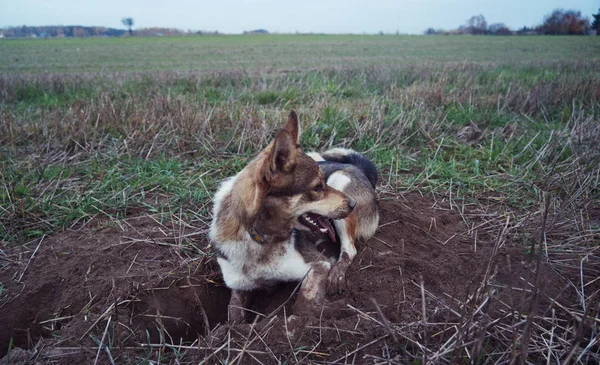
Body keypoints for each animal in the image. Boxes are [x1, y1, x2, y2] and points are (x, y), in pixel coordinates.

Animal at [211, 111, 378, 322]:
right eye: (317, 187)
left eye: (322, 184)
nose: (353, 204)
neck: (260, 239)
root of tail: (357, 167)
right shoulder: (238, 285)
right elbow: (233, 318)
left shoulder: (318, 265)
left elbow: (302, 305)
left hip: (339, 181)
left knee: (349, 250)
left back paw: (336, 276)